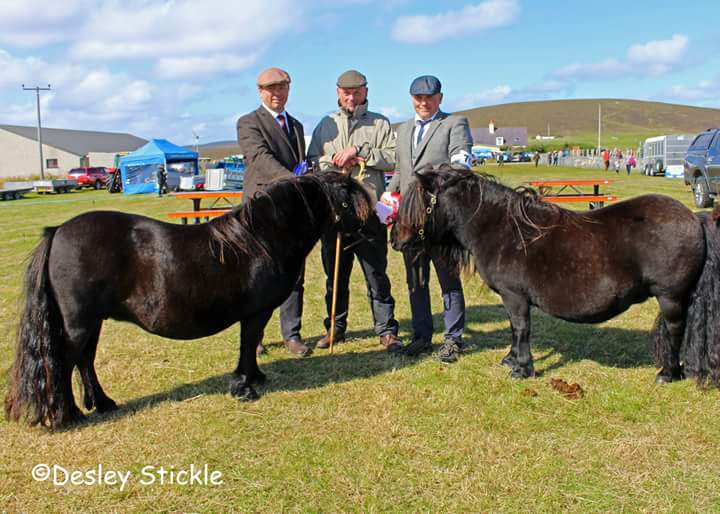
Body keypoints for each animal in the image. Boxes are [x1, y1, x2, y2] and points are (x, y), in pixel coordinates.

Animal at [7, 172, 372, 428]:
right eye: (349, 198)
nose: (372, 227)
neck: (262, 240)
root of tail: (57, 232)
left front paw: (255, 378)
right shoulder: (254, 312)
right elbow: (247, 344)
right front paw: (244, 387)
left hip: (92, 321)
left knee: (85, 360)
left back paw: (103, 402)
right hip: (78, 323)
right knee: (63, 362)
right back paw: (68, 415)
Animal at [394, 164, 720, 384]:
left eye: (418, 203)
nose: (397, 241)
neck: (502, 228)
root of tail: (694, 217)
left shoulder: (514, 296)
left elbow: (521, 329)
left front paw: (522, 368)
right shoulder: (511, 298)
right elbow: (514, 328)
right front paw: (511, 359)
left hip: (670, 297)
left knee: (676, 330)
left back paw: (668, 373)